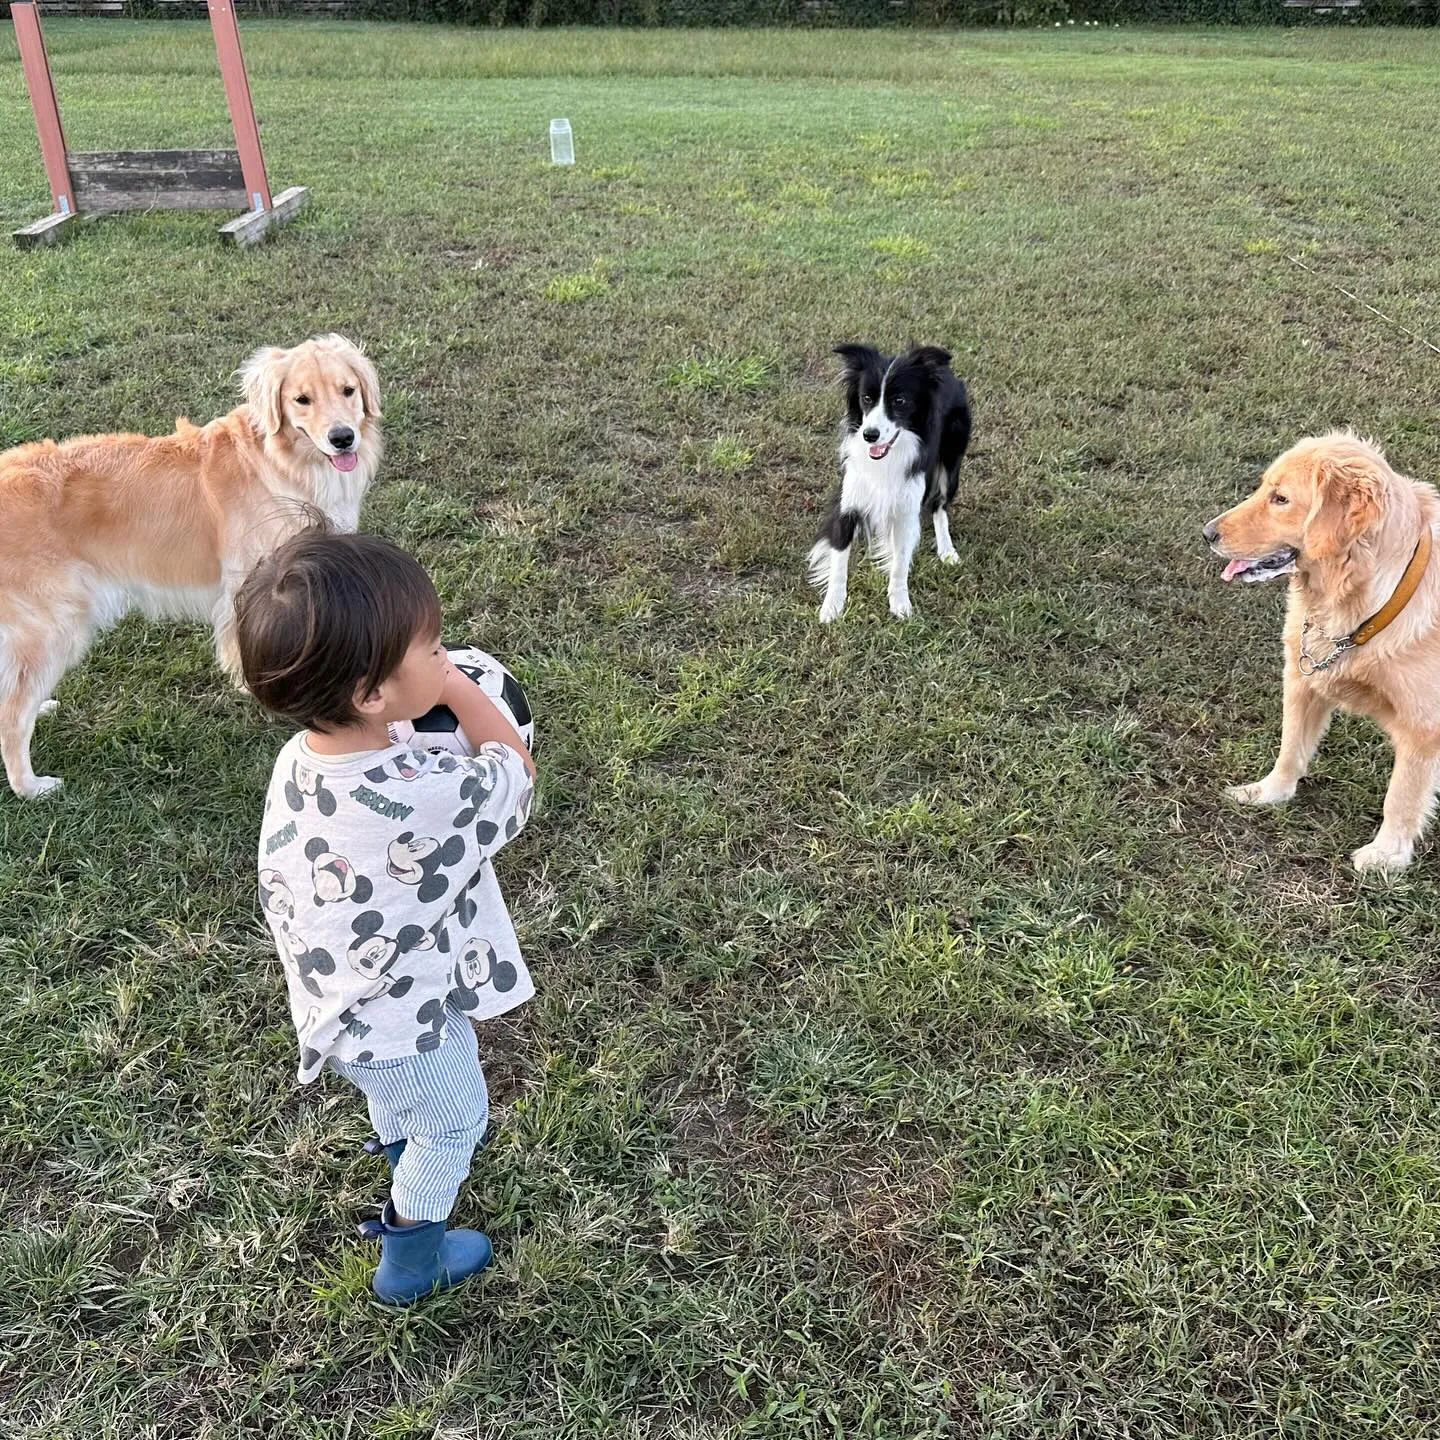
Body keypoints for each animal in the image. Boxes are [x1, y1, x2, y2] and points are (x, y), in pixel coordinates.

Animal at [806, 348, 973, 624]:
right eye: (866, 398)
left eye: (899, 401)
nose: (869, 435)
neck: (887, 457)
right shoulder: (848, 501)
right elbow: (839, 561)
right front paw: (832, 608)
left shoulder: (907, 509)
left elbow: (900, 563)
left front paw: (900, 604)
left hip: (950, 465)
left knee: (939, 507)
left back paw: (947, 550)